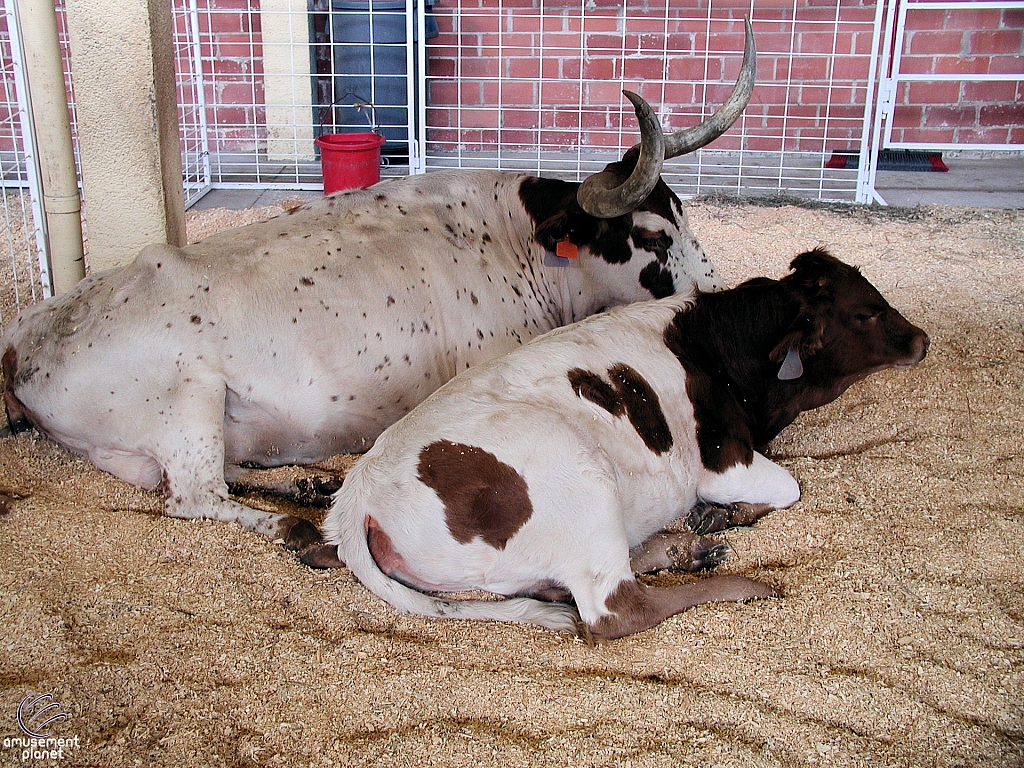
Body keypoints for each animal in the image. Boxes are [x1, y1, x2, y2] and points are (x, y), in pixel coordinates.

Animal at [0, 25, 753, 548]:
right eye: (652, 237)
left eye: (686, 218)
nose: (719, 299)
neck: (521, 245)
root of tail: (24, 340)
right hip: (190, 401)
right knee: (195, 495)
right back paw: (294, 523)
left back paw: (311, 482)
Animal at [311, 250, 929, 638]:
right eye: (867, 312)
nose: (922, 339)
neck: (722, 347)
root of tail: (359, 491)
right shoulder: (722, 459)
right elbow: (789, 487)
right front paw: (729, 513)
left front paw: (716, 521)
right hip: (579, 472)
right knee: (614, 608)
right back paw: (741, 582)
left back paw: (681, 549)